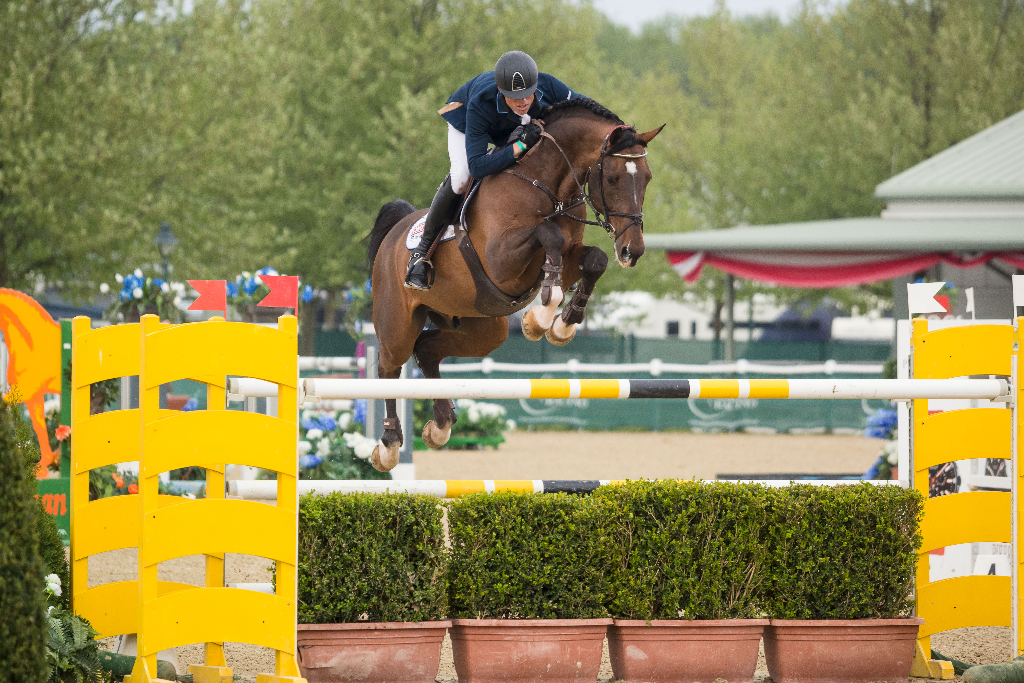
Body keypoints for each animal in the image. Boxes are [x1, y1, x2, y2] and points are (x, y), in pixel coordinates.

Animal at [368, 97, 663, 471]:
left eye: (648, 178)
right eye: (611, 178)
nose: (632, 251)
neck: (548, 186)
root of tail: (395, 232)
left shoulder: (569, 258)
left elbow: (594, 260)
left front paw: (562, 324)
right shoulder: (501, 260)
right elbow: (547, 233)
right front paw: (542, 315)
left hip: (482, 328)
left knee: (427, 349)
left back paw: (440, 424)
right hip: (398, 322)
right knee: (389, 365)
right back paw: (390, 444)